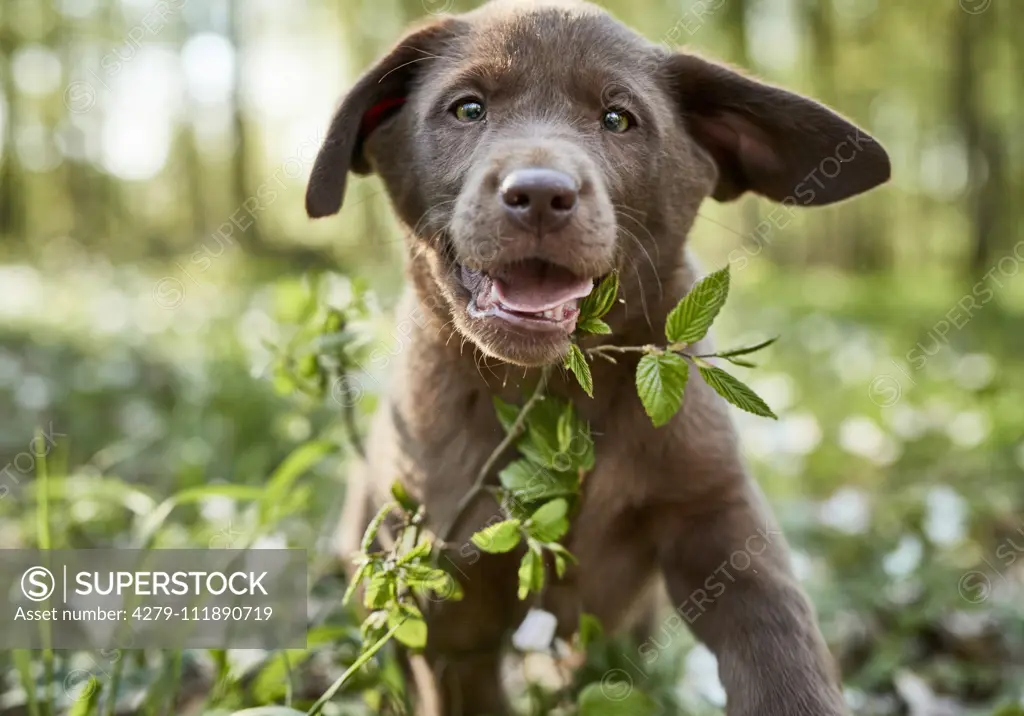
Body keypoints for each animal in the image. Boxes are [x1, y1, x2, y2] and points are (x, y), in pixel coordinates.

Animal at [303, 1, 888, 716]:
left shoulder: (718, 513)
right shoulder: (450, 603)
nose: (539, 194)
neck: (555, 398)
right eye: (468, 109)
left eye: (617, 119)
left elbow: (777, 636)